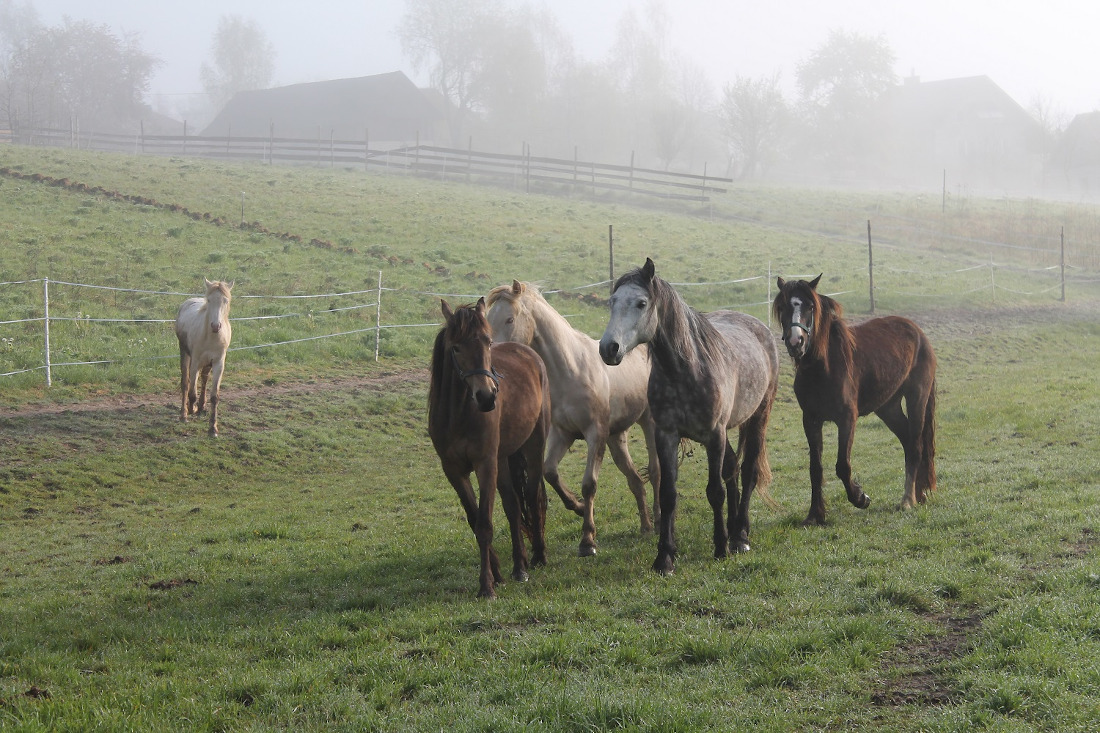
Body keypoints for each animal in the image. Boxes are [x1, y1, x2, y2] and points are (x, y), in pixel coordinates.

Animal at [174, 277, 233, 431]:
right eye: (209, 300)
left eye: (226, 301)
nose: (215, 326)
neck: (211, 337)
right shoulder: (195, 362)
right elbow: (191, 392)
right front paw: (190, 410)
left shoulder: (218, 363)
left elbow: (214, 396)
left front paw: (213, 428)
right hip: (184, 352)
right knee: (185, 382)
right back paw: (185, 413)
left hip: (207, 362)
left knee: (205, 378)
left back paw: (201, 406)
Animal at [426, 294, 550, 598]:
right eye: (456, 347)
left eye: (488, 342)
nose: (487, 396)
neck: (459, 415)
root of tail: (527, 352)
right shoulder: (454, 471)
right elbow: (475, 520)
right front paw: (497, 574)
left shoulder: (484, 465)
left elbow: (484, 523)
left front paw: (486, 586)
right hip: (502, 459)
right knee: (513, 505)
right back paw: (519, 567)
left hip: (533, 445)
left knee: (532, 497)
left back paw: (538, 555)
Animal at [486, 279, 655, 554]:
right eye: (489, 320)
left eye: (510, 319)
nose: (493, 364)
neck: (571, 369)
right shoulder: (562, 434)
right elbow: (550, 472)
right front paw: (577, 507)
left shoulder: (595, 435)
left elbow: (589, 485)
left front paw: (587, 540)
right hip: (616, 438)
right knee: (636, 481)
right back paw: (647, 527)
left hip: (648, 424)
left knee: (656, 472)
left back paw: (659, 522)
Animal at [598, 256, 778, 572]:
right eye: (613, 301)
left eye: (641, 303)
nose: (609, 348)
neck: (685, 370)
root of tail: (759, 327)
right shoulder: (666, 435)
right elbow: (668, 494)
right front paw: (665, 557)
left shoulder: (714, 435)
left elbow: (715, 491)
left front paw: (720, 548)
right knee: (732, 471)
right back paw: (734, 530)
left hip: (758, 418)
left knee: (747, 472)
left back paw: (739, 537)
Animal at [774, 275, 937, 526]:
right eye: (782, 307)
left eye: (810, 307)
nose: (796, 342)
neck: (824, 367)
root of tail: (919, 332)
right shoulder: (810, 420)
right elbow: (815, 468)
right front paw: (815, 514)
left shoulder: (847, 419)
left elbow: (843, 465)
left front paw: (860, 498)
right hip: (888, 407)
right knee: (908, 441)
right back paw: (918, 494)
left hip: (917, 398)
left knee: (916, 446)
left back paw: (908, 500)